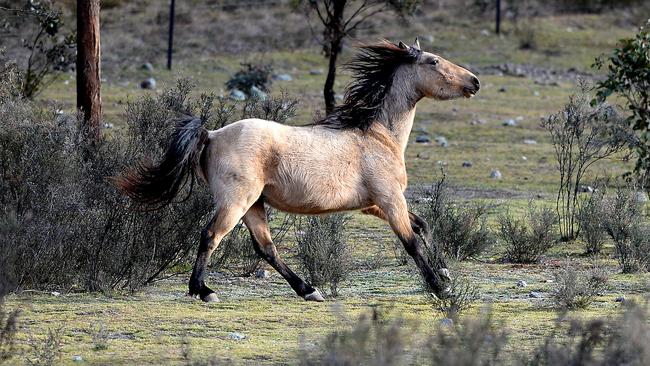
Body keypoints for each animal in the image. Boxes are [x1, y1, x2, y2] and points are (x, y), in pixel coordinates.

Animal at [111, 39, 478, 304]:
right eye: (433, 61)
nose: (474, 82)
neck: (376, 135)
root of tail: (212, 134)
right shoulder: (389, 199)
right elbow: (411, 241)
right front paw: (439, 287)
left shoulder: (374, 204)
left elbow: (422, 225)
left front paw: (445, 273)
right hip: (236, 201)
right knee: (211, 236)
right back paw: (204, 291)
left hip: (255, 205)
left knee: (266, 248)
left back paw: (308, 290)